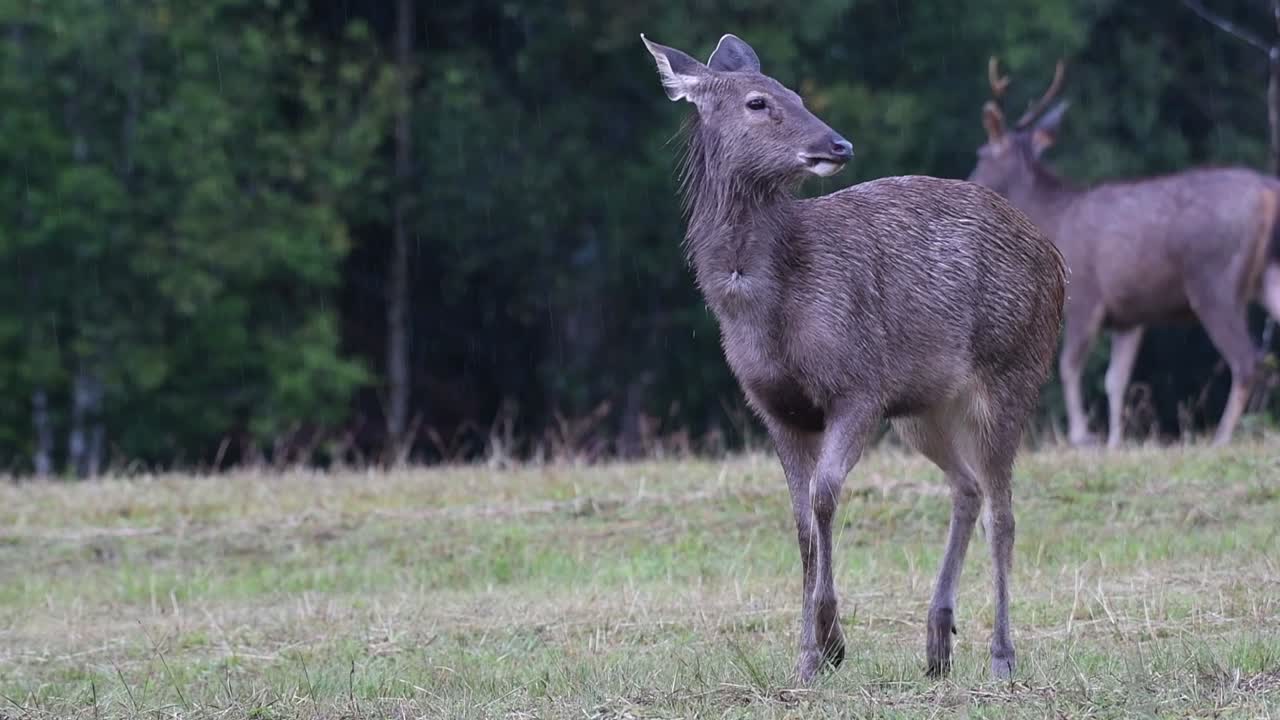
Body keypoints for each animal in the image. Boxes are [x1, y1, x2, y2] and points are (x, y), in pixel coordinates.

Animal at [641, 33, 1066, 682]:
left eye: (796, 92)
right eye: (760, 101)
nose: (837, 144)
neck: (766, 309)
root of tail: (1058, 262)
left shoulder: (858, 386)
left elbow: (824, 497)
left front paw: (829, 643)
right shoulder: (775, 407)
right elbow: (801, 523)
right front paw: (810, 656)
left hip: (1013, 368)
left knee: (1004, 512)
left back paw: (1001, 656)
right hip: (924, 407)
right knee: (968, 489)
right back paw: (937, 643)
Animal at [969, 57, 1280, 448]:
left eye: (981, 153)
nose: (968, 178)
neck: (1053, 217)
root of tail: (1269, 189)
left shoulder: (1085, 295)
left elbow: (1069, 366)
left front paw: (1081, 436)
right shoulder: (1129, 315)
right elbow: (1115, 378)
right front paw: (1115, 441)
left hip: (1215, 279)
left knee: (1246, 360)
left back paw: (1221, 437)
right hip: (1266, 273)